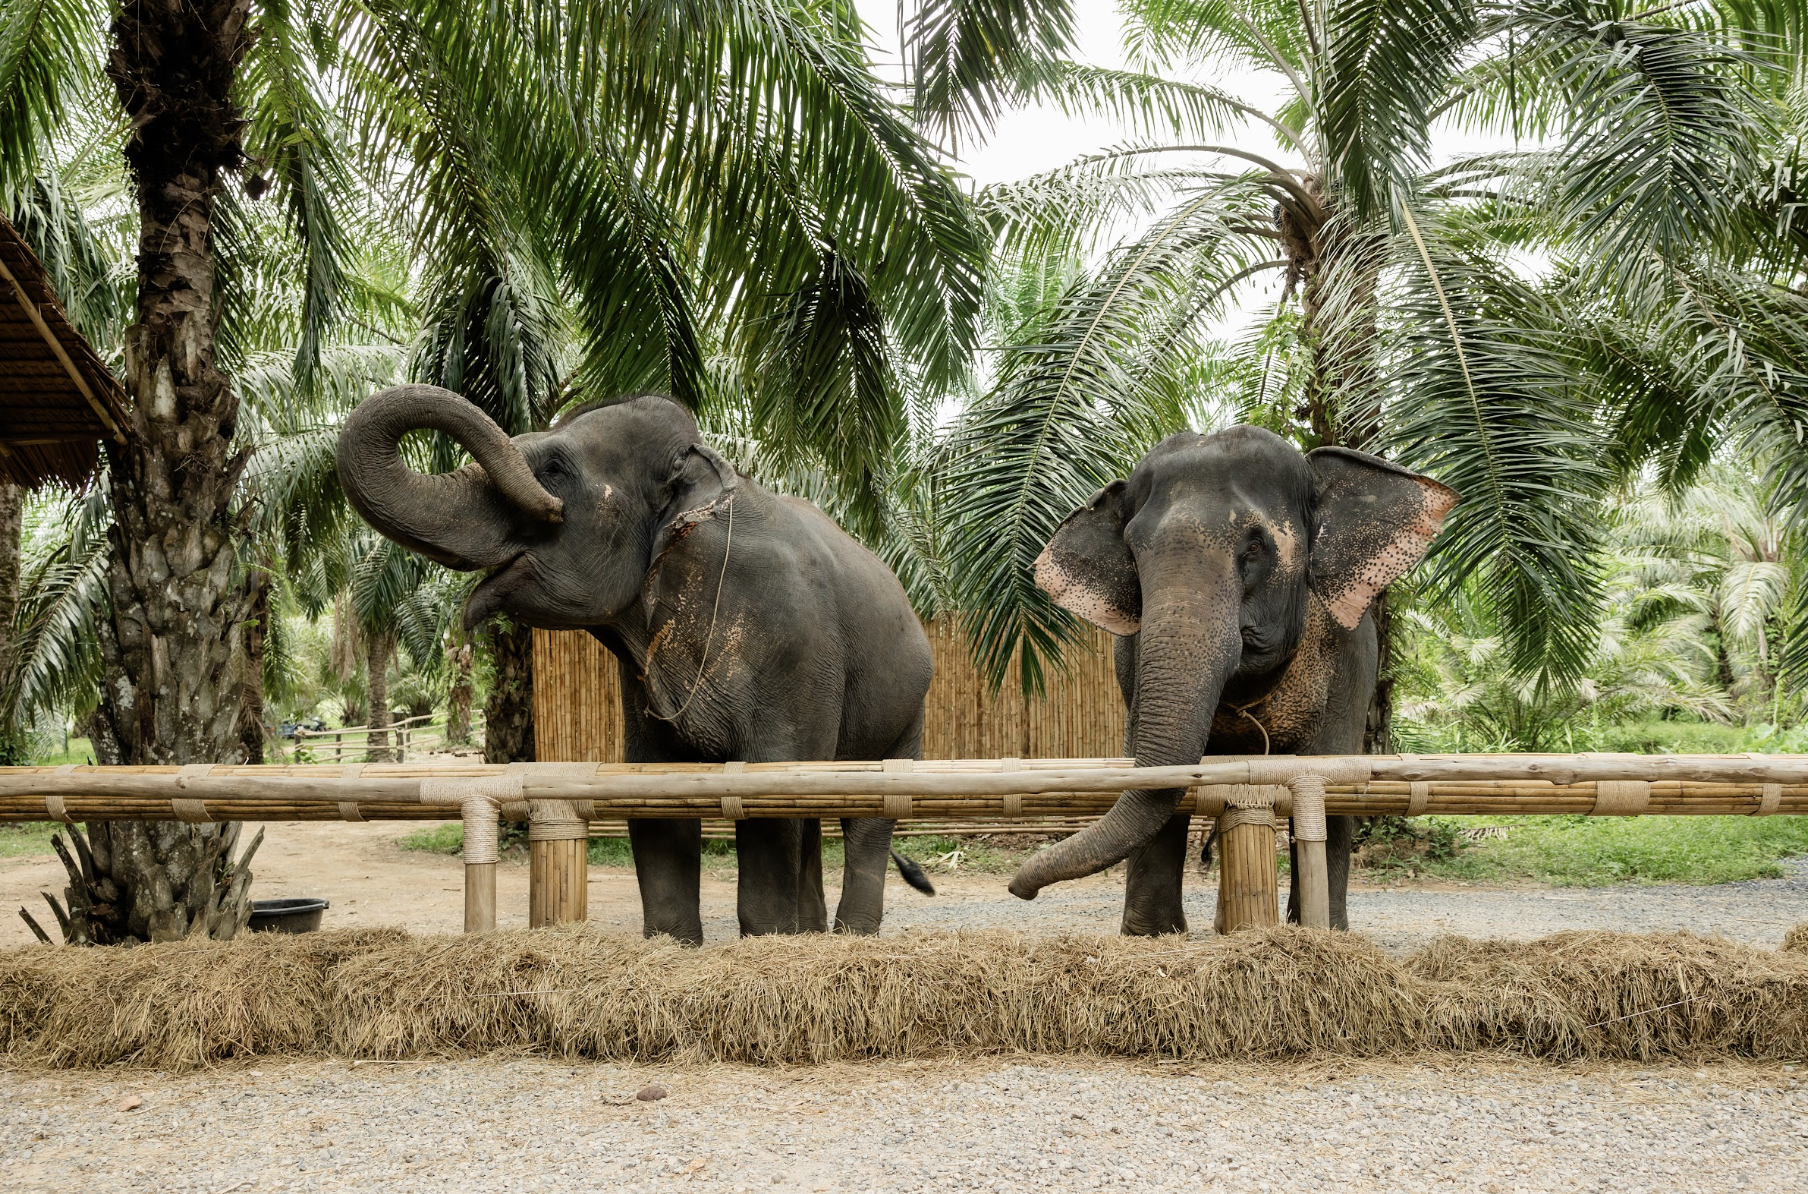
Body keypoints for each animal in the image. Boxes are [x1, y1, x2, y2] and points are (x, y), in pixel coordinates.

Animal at [336, 384, 935, 944]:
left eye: (555, 469)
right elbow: (653, 798)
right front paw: (675, 945)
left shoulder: (794, 647)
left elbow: (771, 797)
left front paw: (768, 942)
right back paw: (814, 935)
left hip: (908, 712)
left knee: (866, 816)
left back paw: (852, 936)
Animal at [1007, 425, 1458, 934]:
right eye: (1134, 553)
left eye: (1256, 545)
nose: (1020, 889)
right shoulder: (1134, 656)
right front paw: (1152, 936)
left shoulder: (1351, 656)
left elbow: (1331, 776)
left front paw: (1321, 933)